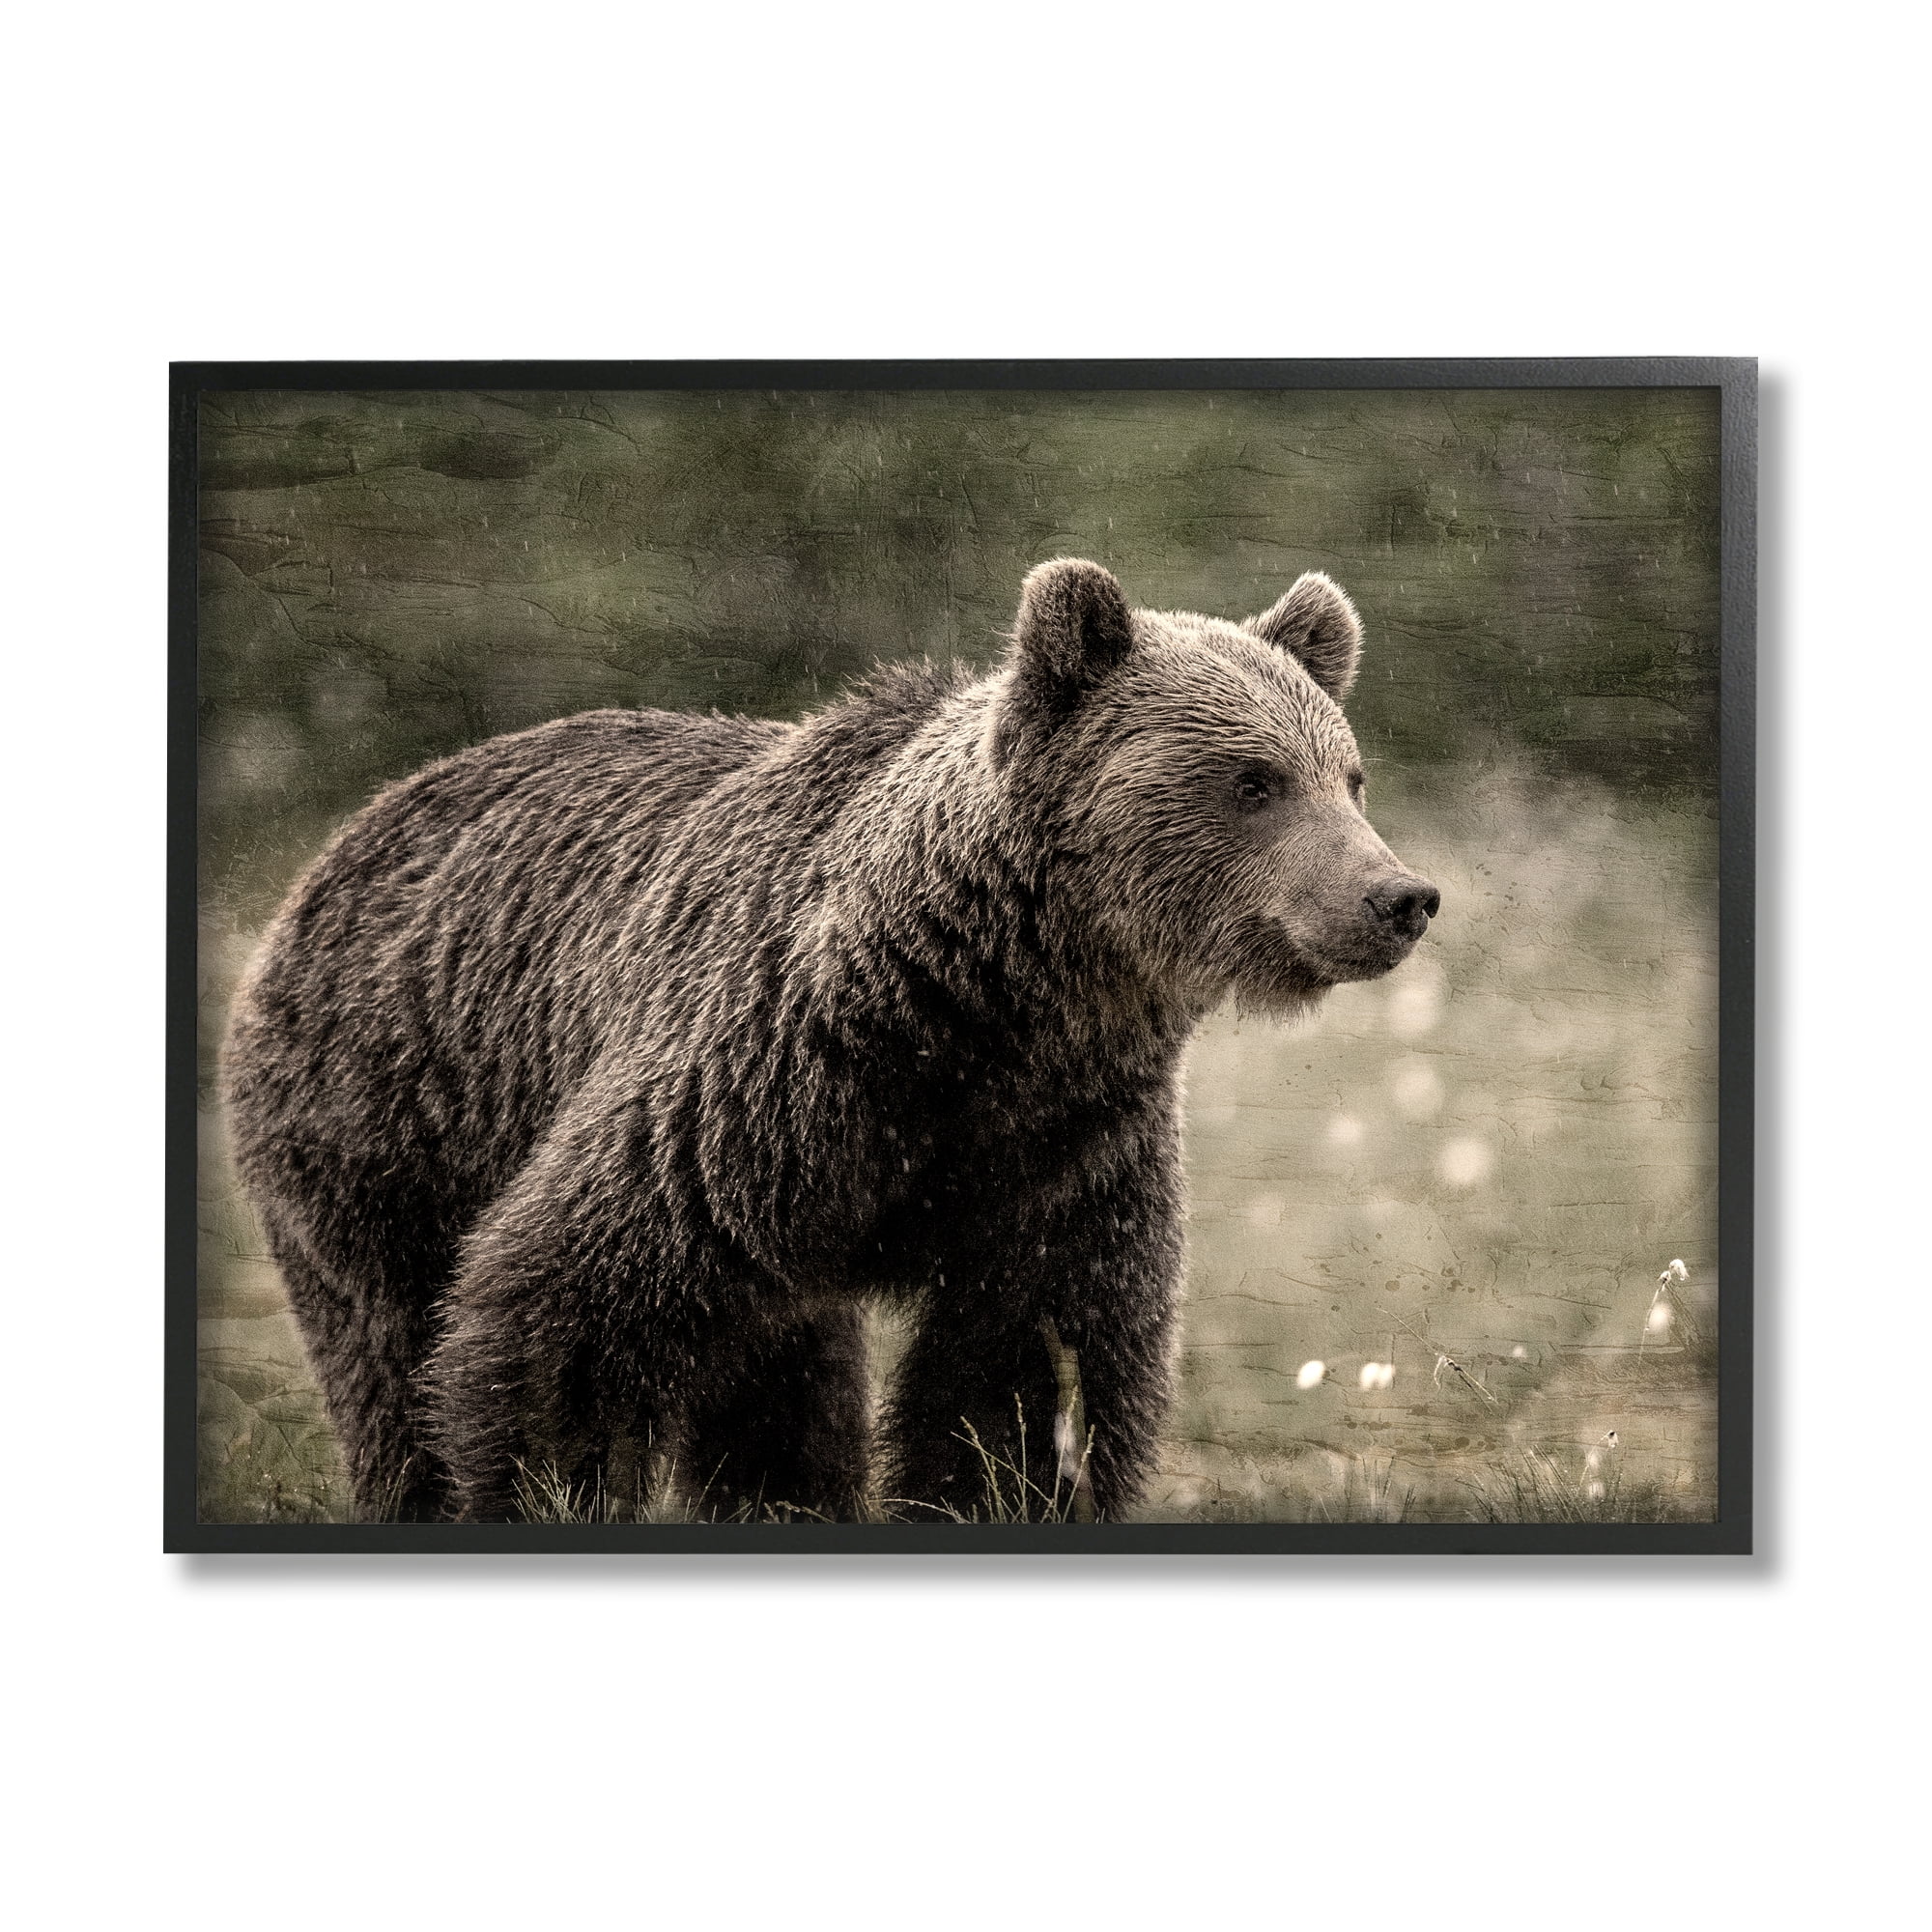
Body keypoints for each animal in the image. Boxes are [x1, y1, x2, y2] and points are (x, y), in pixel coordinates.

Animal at [223, 559, 1440, 1522]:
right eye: (1252, 779)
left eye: (1348, 774)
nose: (1397, 896)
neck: (995, 1003)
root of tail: (349, 833)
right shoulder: (764, 1083)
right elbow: (564, 1308)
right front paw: (542, 1487)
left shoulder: (1066, 1141)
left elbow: (1024, 1367)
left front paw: (995, 1490)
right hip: (387, 1118)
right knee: (392, 1348)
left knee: (780, 1381)